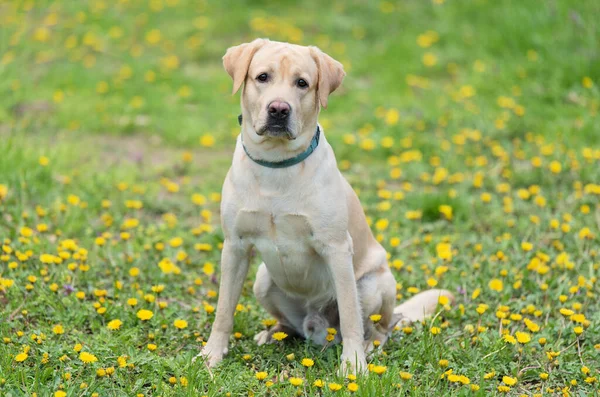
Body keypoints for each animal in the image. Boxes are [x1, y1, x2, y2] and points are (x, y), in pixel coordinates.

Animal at [197, 38, 454, 372]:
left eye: (302, 83)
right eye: (262, 77)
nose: (278, 109)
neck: (276, 166)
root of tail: (316, 326)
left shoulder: (336, 249)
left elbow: (350, 315)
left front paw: (354, 365)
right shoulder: (235, 246)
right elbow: (224, 310)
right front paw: (212, 354)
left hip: (373, 284)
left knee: (378, 328)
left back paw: (369, 346)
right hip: (262, 280)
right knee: (290, 324)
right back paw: (274, 333)